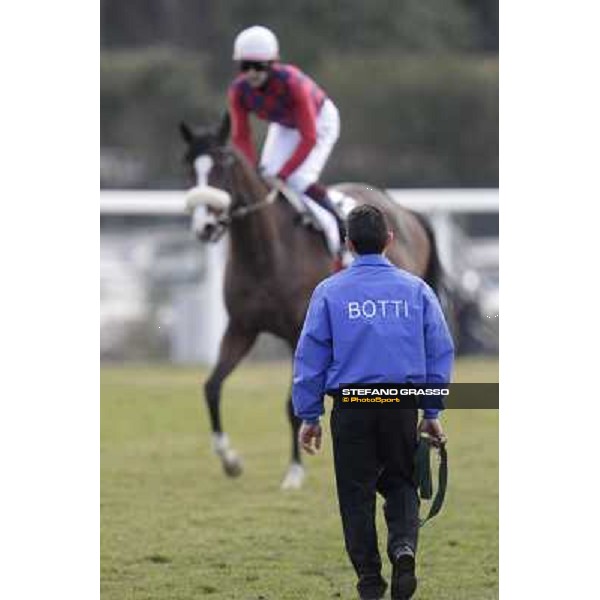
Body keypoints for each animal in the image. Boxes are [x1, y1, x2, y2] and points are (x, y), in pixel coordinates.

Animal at [180, 116, 448, 488]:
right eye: (189, 166)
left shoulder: (300, 333)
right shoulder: (241, 328)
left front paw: (294, 473)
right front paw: (230, 460)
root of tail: (404, 211)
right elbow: (212, 387)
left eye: (221, 163)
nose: (205, 225)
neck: (266, 253)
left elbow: (292, 405)